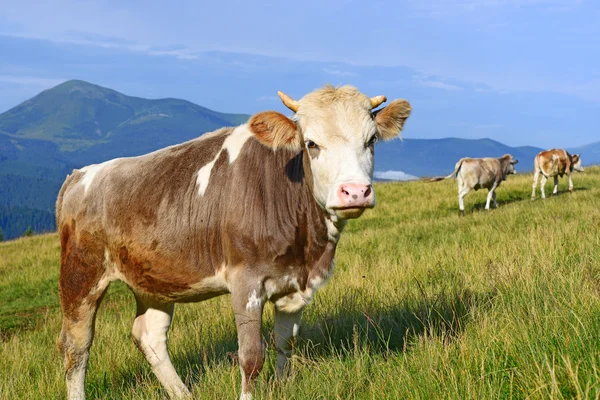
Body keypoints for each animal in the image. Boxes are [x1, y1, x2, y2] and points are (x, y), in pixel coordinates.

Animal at [56, 83, 410, 398]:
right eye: (311, 143)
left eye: (371, 140)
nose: (355, 192)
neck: (308, 249)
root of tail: (79, 175)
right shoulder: (246, 281)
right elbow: (251, 356)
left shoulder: (295, 284)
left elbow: (286, 344)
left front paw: (282, 388)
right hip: (81, 274)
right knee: (76, 346)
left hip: (154, 279)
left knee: (149, 336)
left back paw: (184, 396)